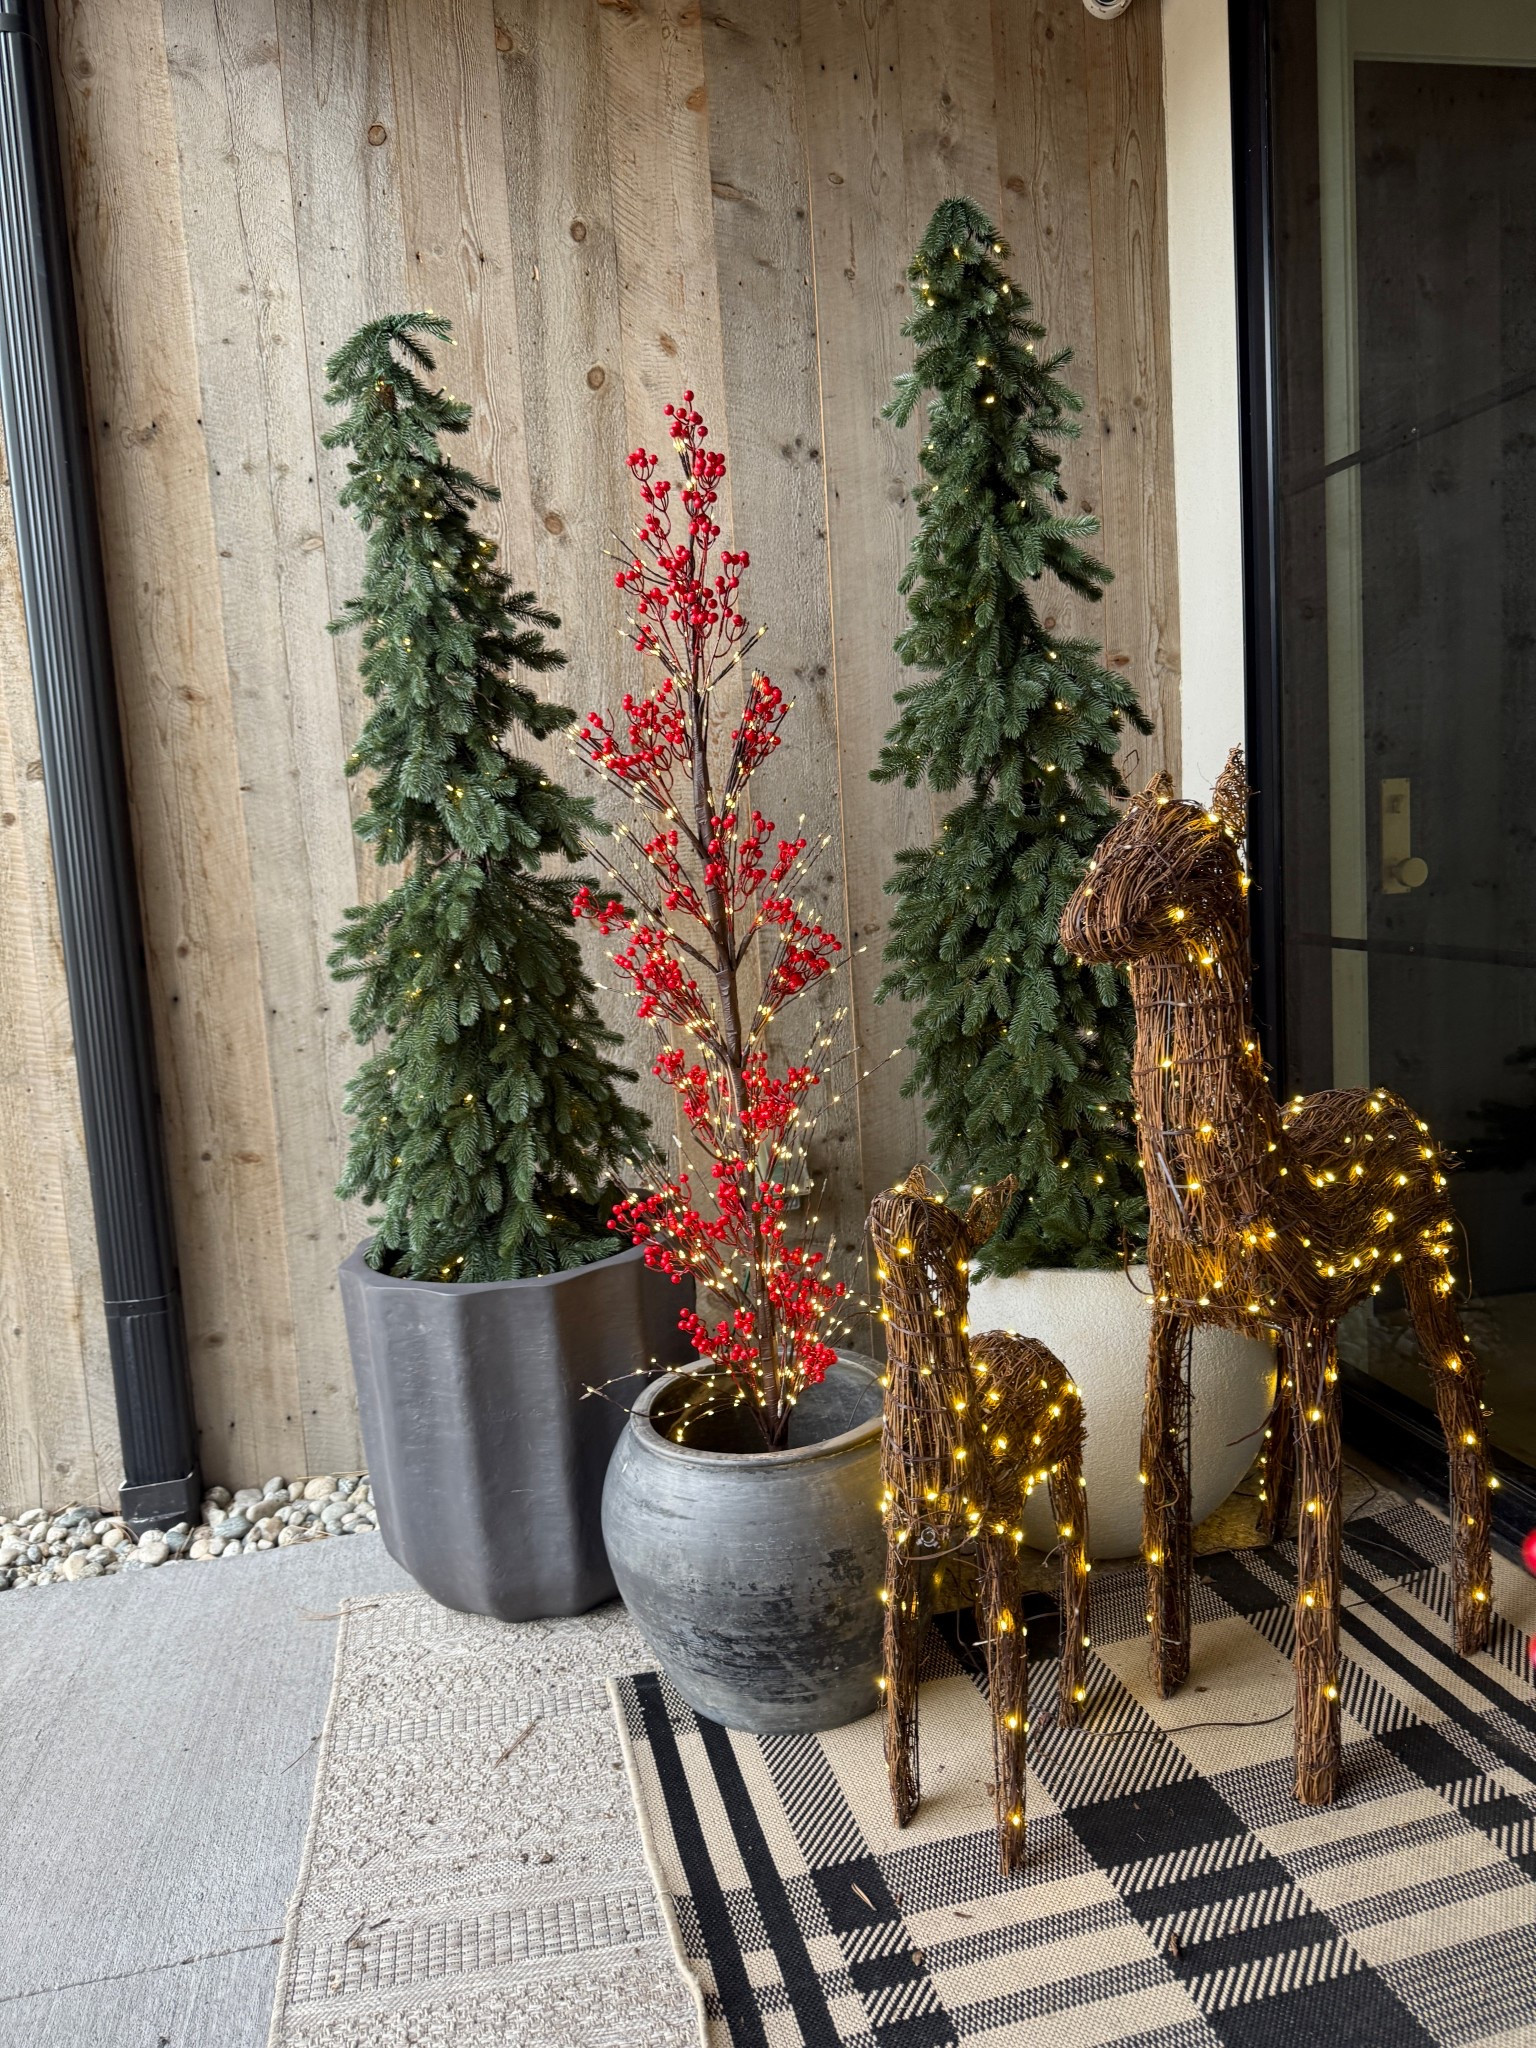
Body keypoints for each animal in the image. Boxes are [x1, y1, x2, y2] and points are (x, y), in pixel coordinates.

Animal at [869, 1169, 1090, 1875]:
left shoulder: (999, 1535)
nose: (893, 1206)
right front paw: (902, 1810)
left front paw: (1011, 1853)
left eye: (942, 1234)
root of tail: (1028, 1341)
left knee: (1077, 1567)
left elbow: (1008, 1672)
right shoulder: (897, 1548)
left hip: (1065, 1461)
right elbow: (898, 1677)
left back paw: (1072, 1708)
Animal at [1058, 748, 1493, 1803]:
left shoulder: (1315, 1323)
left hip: (1427, 1265)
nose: (1082, 925)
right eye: (1108, 843)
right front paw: (1170, 1679)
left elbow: (1325, 1542)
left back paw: (1469, 1625)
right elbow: (1165, 1491)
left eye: (1197, 859)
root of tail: (1390, 1101)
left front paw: (1318, 1777)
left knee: (1462, 1413)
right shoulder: (1175, 1324)